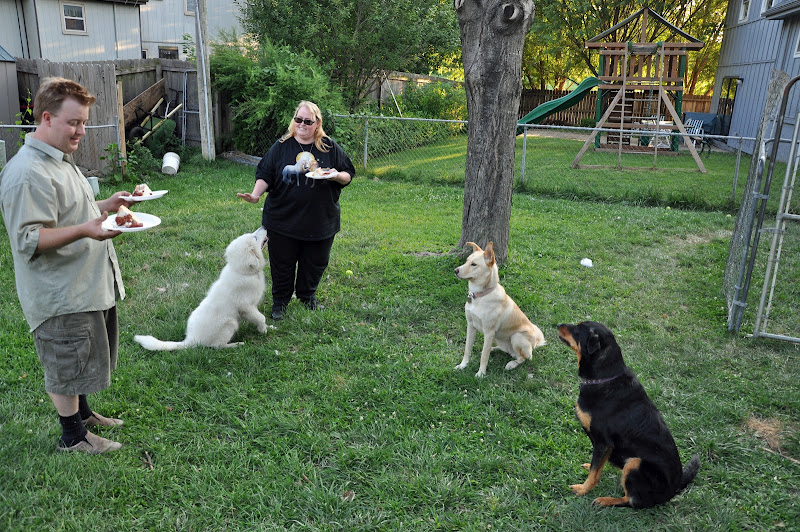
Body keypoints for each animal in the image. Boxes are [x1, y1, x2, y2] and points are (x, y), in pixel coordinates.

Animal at [132, 228, 268, 350]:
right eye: (255, 238)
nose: (264, 226)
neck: (243, 271)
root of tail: (191, 340)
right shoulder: (246, 307)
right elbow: (261, 317)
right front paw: (264, 330)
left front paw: (268, 327)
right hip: (230, 323)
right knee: (216, 346)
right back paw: (235, 345)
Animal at [454, 243, 548, 376]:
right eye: (466, 261)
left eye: (474, 264)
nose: (455, 270)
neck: (480, 296)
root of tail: (535, 343)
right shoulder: (471, 326)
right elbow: (467, 349)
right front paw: (462, 365)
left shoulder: (489, 332)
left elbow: (484, 356)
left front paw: (481, 374)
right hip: (499, 339)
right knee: (506, 351)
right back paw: (494, 349)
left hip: (517, 337)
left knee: (524, 358)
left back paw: (511, 364)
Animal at [556, 320, 700, 508]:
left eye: (578, 329)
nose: (558, 324)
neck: (605, 377)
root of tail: (674, 489)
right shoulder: (603, 447)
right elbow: (597, 467)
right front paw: (590, 467)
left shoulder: (603, 442)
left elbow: (594, 473)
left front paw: (582, 489)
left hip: (635, 463)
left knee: (632, 501)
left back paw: (605, 500)